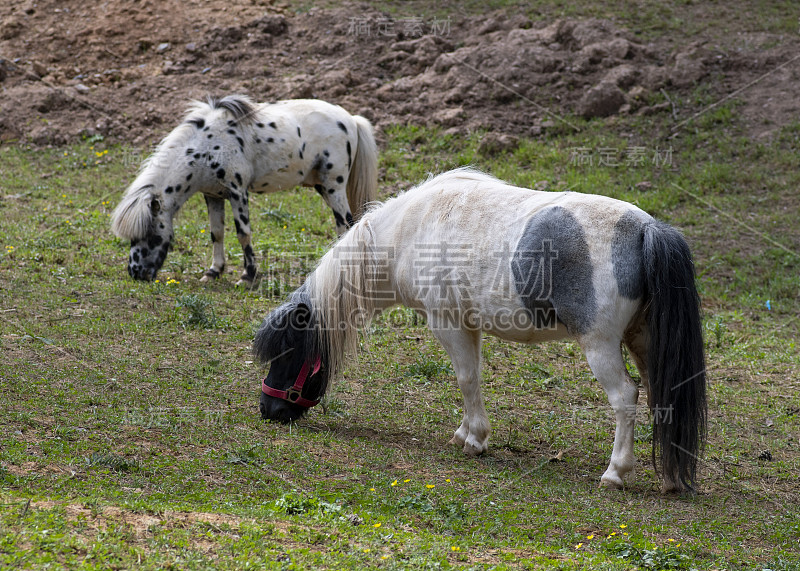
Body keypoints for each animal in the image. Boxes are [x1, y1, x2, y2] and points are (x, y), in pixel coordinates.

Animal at [110, 97, 382, 286]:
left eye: (152, 236)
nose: (135, 273)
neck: (207, 146)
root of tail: (351, 119)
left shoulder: (237, 192)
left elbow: (243, 234)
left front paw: (247, 276)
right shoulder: (212, 196)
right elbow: (217, 233)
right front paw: (213, 271)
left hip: (333, 187)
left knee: (345, 224)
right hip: (322, 187)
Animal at [252, 168, 708, 494]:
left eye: (287, 352)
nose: (269, 411)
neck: (409, 232)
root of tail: (647, 229)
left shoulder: (448, 324)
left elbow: (466, 379)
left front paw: (475, 440)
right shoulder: (468, 325)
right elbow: (471, 379)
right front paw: (465, 434)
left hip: (600, 346)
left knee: (626, 397)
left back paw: (615, 472)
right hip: (643, 342)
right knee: (662, 394)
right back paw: (670, 478)